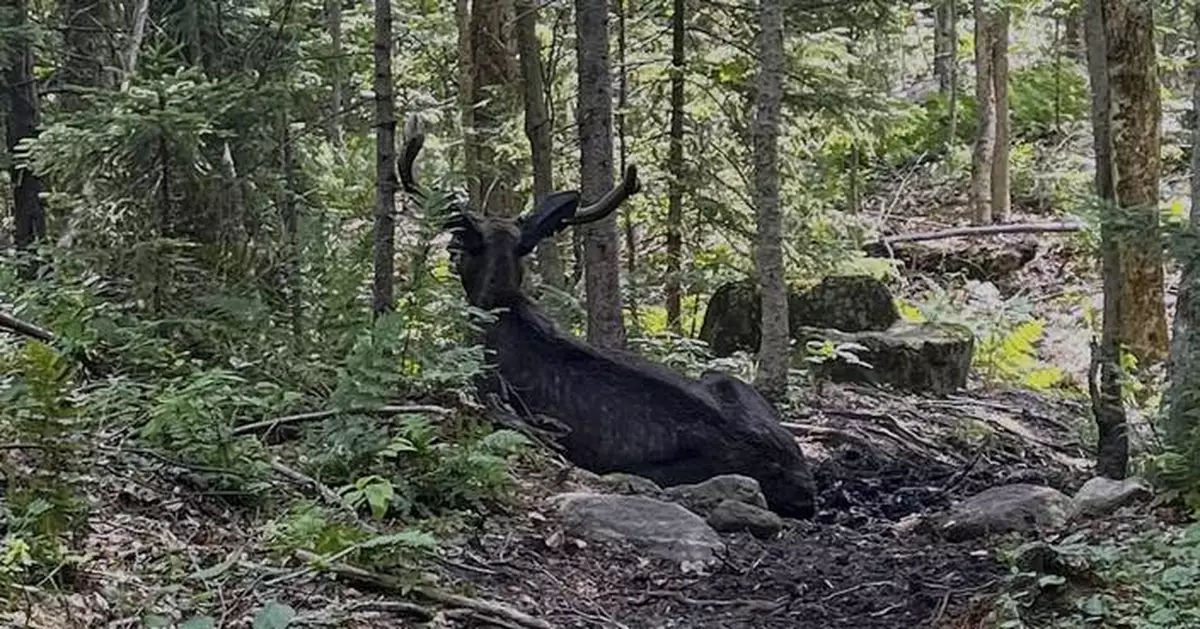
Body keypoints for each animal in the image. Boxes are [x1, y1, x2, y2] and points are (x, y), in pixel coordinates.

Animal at [398, 124, 817, 519]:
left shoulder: (485, 386)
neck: (499, 305)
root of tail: (802, 484)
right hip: (725, 380)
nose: (449, 252)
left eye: (459, 245)